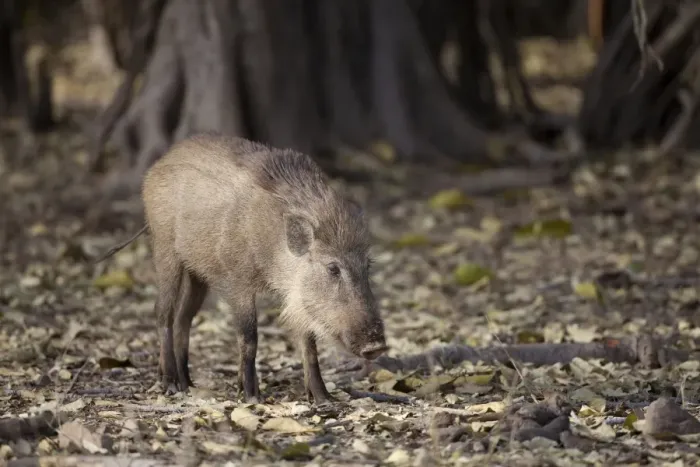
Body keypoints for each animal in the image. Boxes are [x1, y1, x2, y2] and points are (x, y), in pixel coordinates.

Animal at [97, 132, 387, 403]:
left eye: (367, 265)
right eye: (332, 268)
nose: (377, 346)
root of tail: (158, 164)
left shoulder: (296, 297)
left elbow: (308, 342)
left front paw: (323, 398)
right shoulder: (238, 283)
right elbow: (249, 337)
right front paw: (250, 396)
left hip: (198, 273)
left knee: (184, 318)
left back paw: (187, 383)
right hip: (165, 249)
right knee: (163, 312)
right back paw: (170, 384)